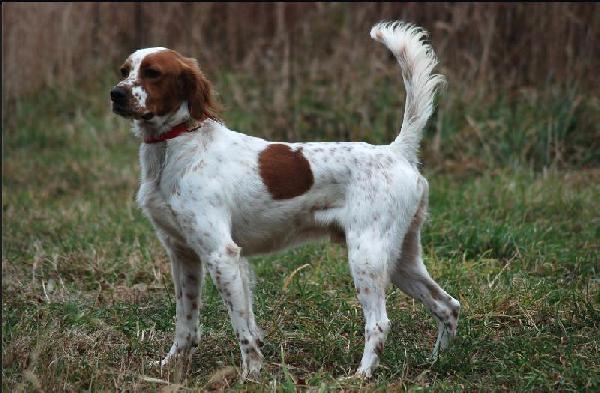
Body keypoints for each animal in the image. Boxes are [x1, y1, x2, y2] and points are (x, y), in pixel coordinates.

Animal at [111, 22, 460, 380]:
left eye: (153, 73)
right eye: (124, 71)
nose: (116, 93)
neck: (176, 148)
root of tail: (397, 151)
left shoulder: (222, 255)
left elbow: (243, 329)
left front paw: (251, 375)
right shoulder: (184, 255)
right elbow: (186, 323)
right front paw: (171, 364)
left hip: (367, 256)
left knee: (379, 323)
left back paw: (361, 376)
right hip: (401, 258)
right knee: (447, 305)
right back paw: (436, 361)